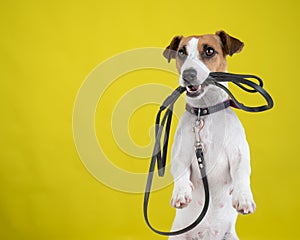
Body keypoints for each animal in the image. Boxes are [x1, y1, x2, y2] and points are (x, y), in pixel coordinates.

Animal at [163, 31, 256, 239]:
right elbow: (179, 170)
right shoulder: (180, 155)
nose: (188, 74)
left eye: (209, 51)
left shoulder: (239, 154)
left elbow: (241, 172)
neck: (204, 113)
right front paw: (180, 192)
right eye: (181, 52)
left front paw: (243, 197)